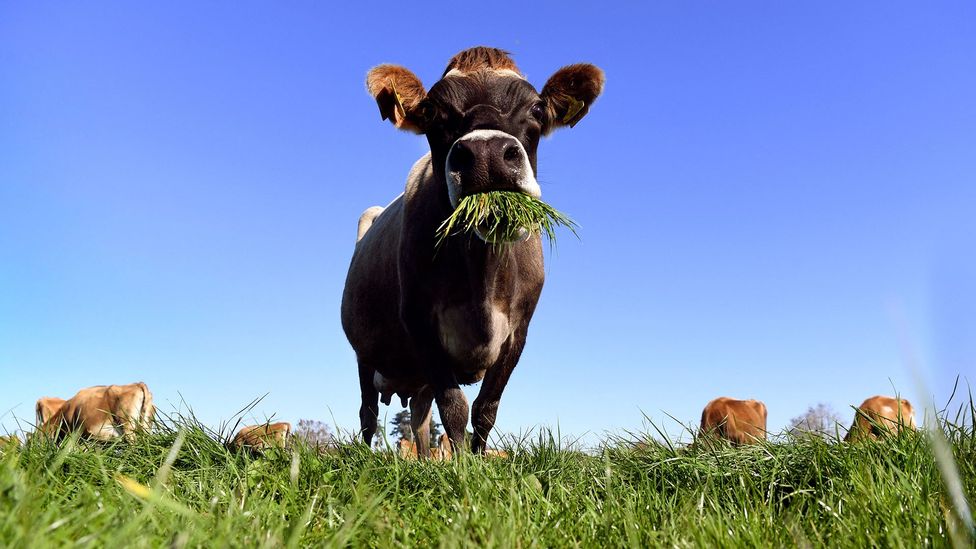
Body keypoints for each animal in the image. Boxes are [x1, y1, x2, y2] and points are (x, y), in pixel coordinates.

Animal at [342, 46, 604, 458]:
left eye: (537, 108)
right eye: (432, 111)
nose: (486, 154)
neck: (482, 278)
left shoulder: (518, 331)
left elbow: (485, 408)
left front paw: (477, 462)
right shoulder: (419, 321)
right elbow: (455, 407)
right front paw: (463, 465)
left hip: (416, 377)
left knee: (419, 416)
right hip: (364, 354)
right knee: (367, 413)